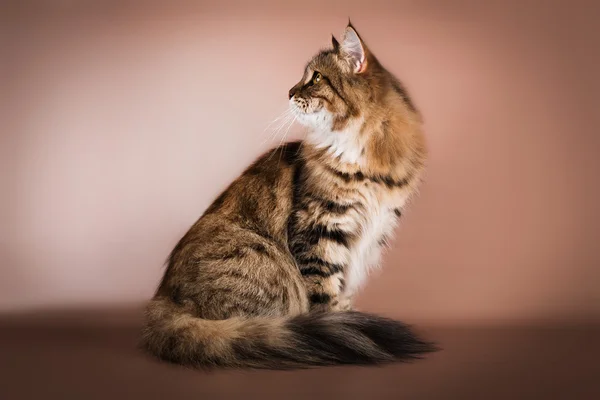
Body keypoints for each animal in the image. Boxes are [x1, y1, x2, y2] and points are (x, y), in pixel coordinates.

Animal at [141, 23, 436, 370]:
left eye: (316, 78)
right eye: (306, 78)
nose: (290, 92)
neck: (367, 156)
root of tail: (163, 300)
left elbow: (340, 288)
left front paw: (347, 316)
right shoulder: (320, 226)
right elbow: (324, 289)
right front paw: (337, 323)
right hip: (262, 257)